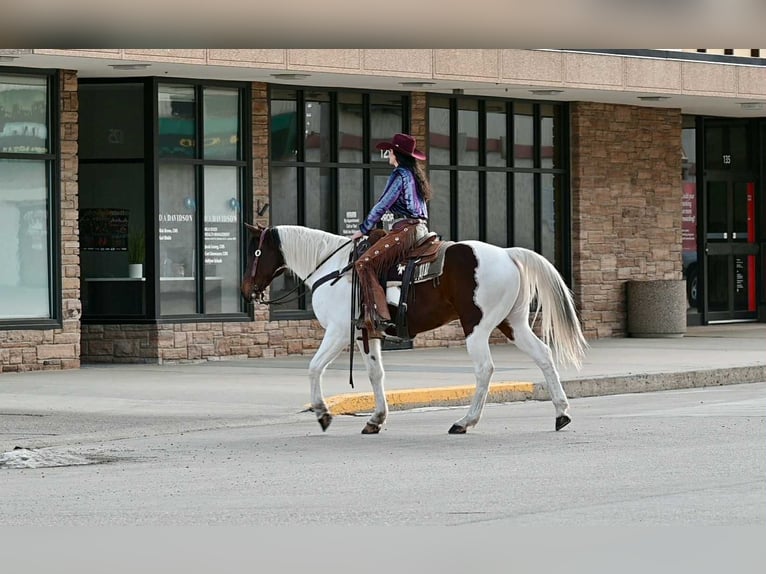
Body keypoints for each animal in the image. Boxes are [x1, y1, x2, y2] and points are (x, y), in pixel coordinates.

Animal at [241, 223, 588, 435]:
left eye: (255, 252)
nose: (246, 290)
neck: (334, 269)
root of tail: (507, 254)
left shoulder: (338, 331)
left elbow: (314, 367)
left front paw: (323, 414)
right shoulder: (367, 334)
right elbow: (376, 374)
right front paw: (375, 420)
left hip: (477, 327)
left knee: (485, 369)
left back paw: (465, 421)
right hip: (512, 323)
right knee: (543, 355)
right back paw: (561, 413)